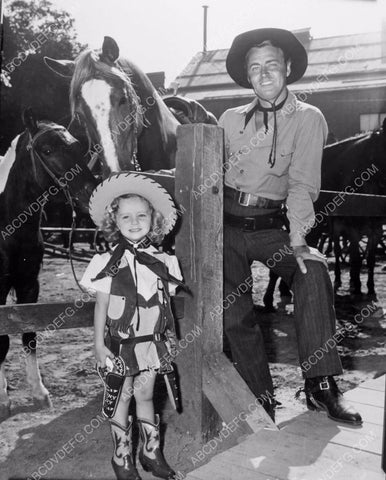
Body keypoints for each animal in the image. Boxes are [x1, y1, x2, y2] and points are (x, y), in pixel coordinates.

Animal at [0, 109, 96, 420]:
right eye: (47, 150)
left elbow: (29, 335)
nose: (89, 192)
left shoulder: (30, 285)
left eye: (77, 147)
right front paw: (3, 399)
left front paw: (39, 392)